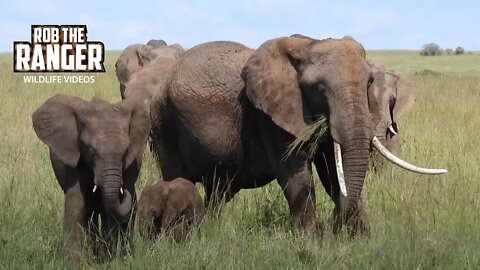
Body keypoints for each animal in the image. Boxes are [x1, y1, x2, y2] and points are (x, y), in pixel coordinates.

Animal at [31, 94, 150, 260]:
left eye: (125, 152)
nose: (124, 188)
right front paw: (73, 261)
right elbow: (76, 200)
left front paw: (107, 259)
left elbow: (109, 210)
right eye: (91, 151)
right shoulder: (76, 155)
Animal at [146, 34, 446, 237]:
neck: (308, 44)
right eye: (320, 88)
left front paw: (359, 241)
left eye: (368, 82)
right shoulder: (269, 116)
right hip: (163, 123)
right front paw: (313, 243)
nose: (334, 227)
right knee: (179, 181)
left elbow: (332, 174)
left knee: (218, 191)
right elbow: (298, 177)